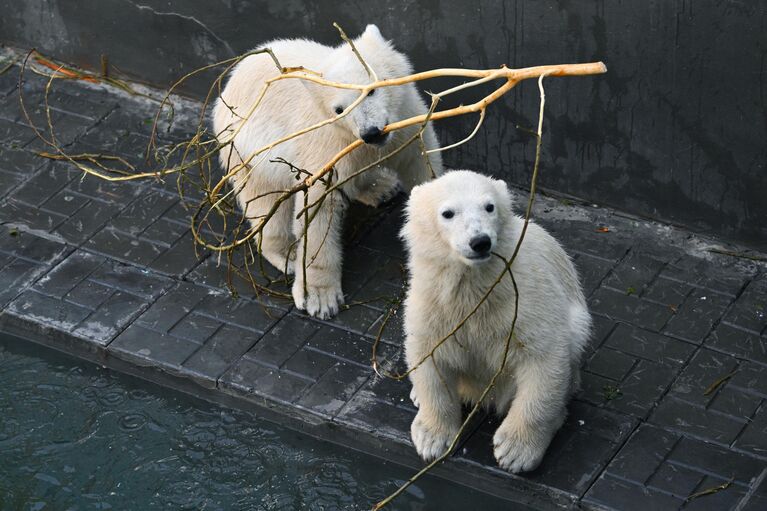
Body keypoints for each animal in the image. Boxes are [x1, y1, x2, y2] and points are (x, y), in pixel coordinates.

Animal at [214, 27, 444, 320]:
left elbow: (420, 163)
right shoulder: (327, 143)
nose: (371, 133)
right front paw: (319, 298)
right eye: (339, 109)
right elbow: (318, 207)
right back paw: (287, 254)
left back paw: (382, 187)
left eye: (370, 91)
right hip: (251, 149)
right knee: (267, 203)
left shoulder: (407, 122)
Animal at [402, 170, 592, 474]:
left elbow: (544, 358)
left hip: (578, 320)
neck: (477, 286)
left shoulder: (524, 301)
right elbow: (429, 357)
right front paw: (431, 438)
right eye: (447, 213)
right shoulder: (434, 305)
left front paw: (515, 451)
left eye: (489, 206)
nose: (479, 241)